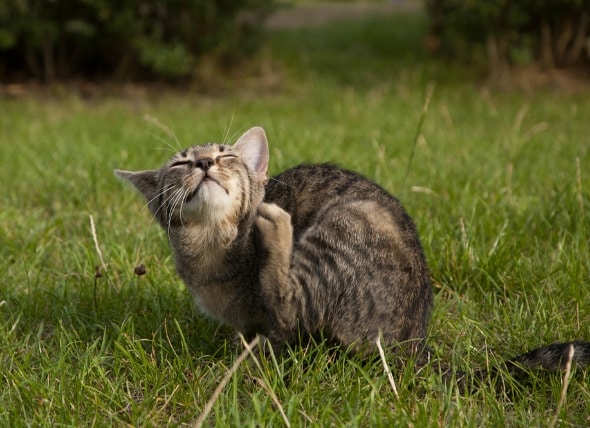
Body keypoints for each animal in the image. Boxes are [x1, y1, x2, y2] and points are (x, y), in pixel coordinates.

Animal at [117, 127, 590, 374]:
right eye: (180, 163)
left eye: (226, 155)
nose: (204, 163)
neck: (213, 248)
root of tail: (415, 346)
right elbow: (252, 336)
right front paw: (243, 354)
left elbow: (278, 325)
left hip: (345, 223)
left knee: (289, 302)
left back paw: (278, 227)